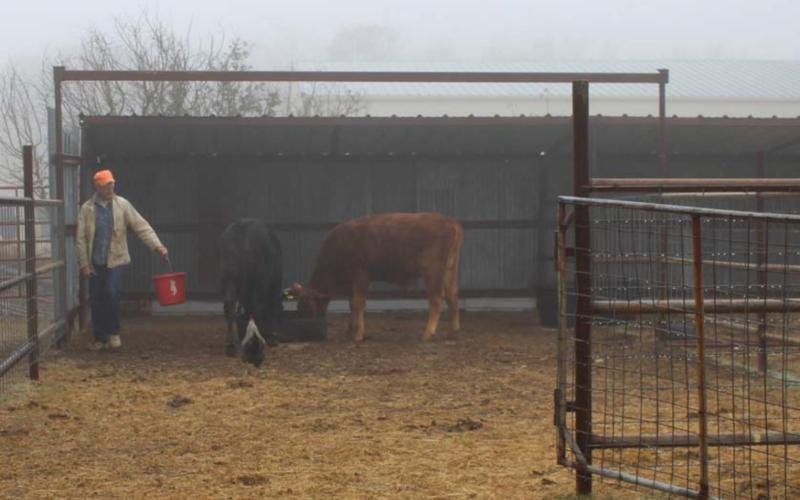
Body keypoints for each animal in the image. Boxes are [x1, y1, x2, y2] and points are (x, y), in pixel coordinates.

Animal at [217, 219, 282, 367]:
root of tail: (243, 226)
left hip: (229, 278)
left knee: (229, 307)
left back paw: (230, 346)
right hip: (258, 279)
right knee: (255, 306)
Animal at [291, 212, 463, 342]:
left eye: (307, 305)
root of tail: (448, 222)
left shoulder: (361, 275)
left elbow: (358, 303)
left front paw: (358, 334)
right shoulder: (353, 283)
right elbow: (352, 304)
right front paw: (351, 330)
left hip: (432, 271)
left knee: (437, 299)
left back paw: (427, 334)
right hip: (449, 270)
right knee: (452, 296)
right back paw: (452, 332)